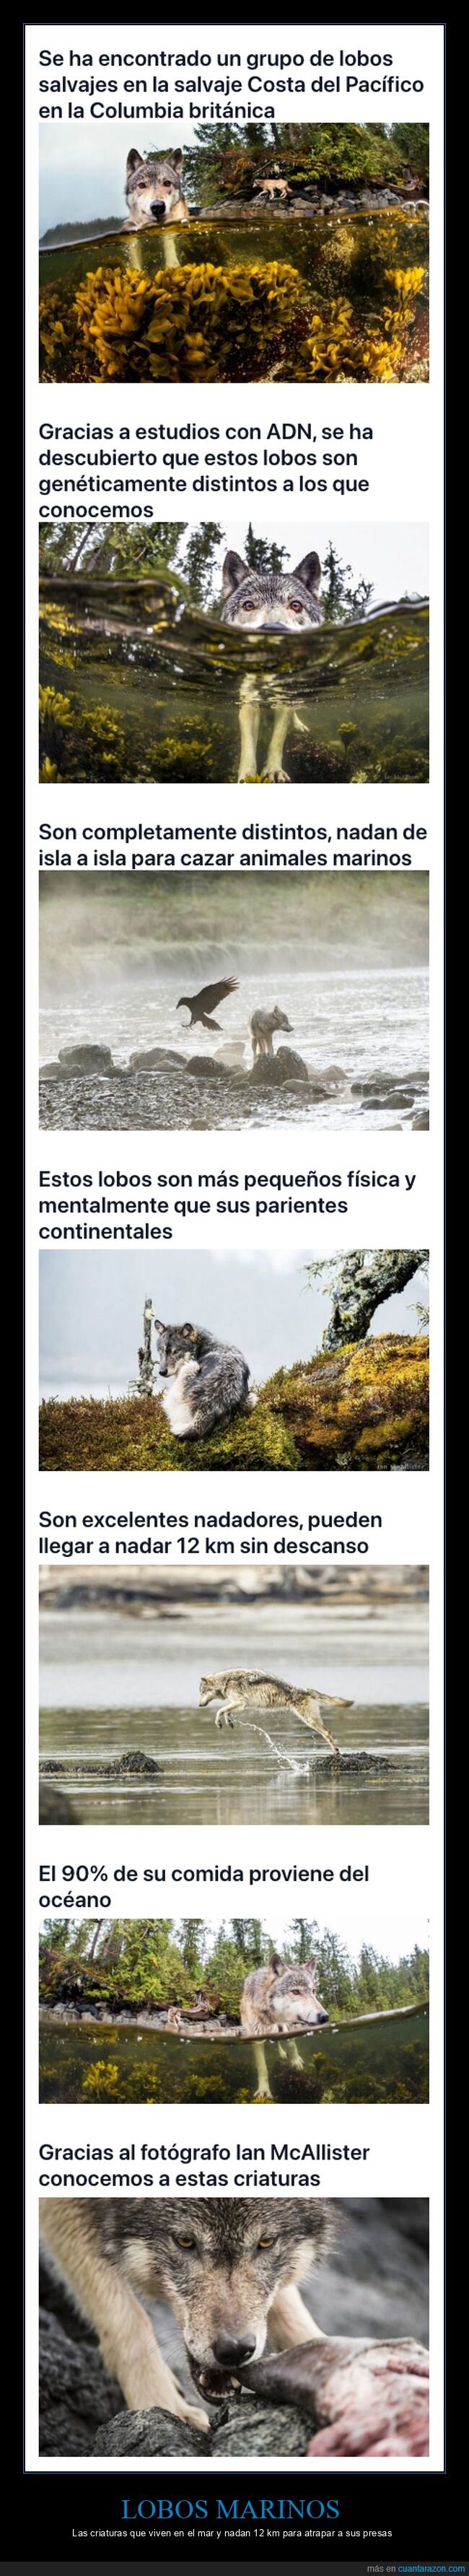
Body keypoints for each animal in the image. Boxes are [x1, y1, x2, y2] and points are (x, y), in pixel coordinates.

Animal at [40, 2199, 332, 2426]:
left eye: (266, 2242)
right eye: (185, 2241)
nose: (236, 2350)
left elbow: (288, 2306)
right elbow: (126, 2317)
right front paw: (162, 2404)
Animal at [154, 1321, 256, 1439]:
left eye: (176, 1351)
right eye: (162, 1350)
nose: (162, 1372)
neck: (201, 1346)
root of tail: (207, 1407)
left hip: (190, 1367)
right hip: (252, 1398)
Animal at [199, 1668, 352, 1753]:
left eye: (202, 1692)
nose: (199, 1705)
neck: (226, 1681)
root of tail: (305, 1690)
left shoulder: (240, 1702)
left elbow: (219, 1711)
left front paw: (219, 1722)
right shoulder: (239, 1705)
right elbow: (226, 1712)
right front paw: (228, 1721)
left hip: (309, 1720)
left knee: (328, 1732)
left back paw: (336, 1752)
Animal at [220, 548, 323, 782]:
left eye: (296, 605)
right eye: (249, 605)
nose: (274, 629)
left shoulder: (284, 702)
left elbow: (277, 740)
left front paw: (274, 771)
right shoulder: (249, 702)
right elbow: (248, 746)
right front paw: (247, 777)